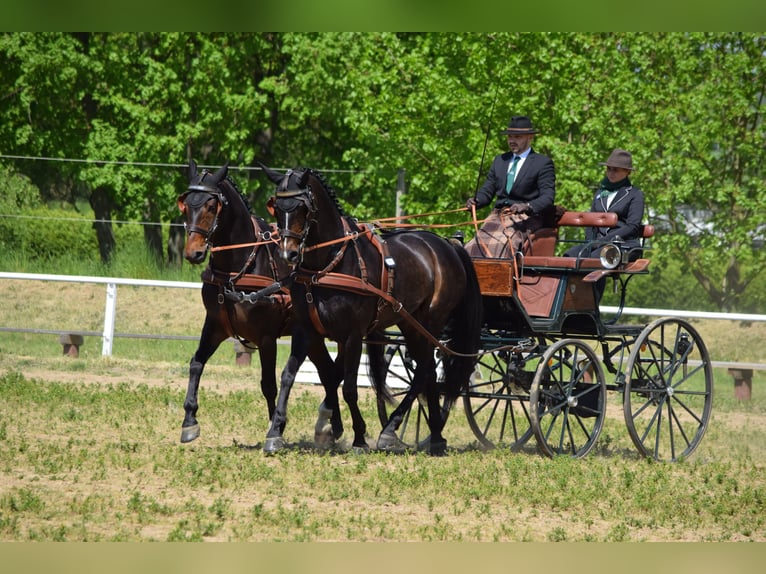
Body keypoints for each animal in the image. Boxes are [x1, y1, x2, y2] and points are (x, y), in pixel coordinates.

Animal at [177, 160, 344, 448]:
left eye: (211, 206)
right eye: (185, 204)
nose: (193, 252)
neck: (237, 267)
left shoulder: (265, 336)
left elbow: (269, 384)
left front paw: (275, 428)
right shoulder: (215, 325)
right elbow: (196, 363)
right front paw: (190, 421)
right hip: (312, 336)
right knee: (328, 371)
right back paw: (330, 426)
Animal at [260, 166, 484, 460]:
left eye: (303, 208)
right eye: (276, 207)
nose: (289, 254)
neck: (327, 265)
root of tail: (447, 244)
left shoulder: (353, 335)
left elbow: (350, 388)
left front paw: (358, 437)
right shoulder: (305, 329)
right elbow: (290, 375)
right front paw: (276, 432)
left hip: (430, 322)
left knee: (424, 371)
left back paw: (392, 430)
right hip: (410, 324)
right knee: (427, 374)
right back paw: (435, 436)